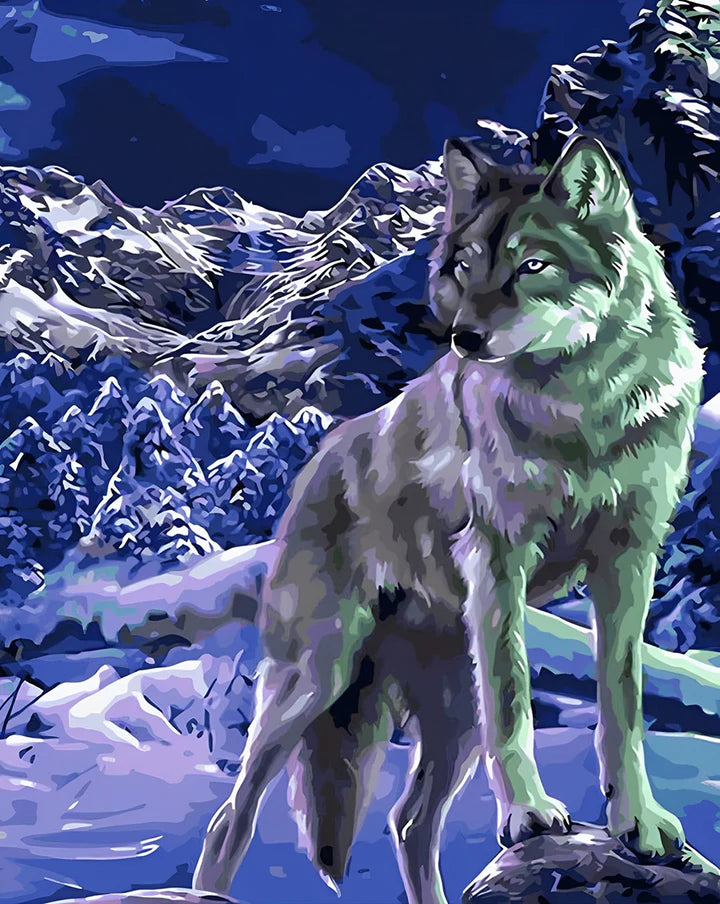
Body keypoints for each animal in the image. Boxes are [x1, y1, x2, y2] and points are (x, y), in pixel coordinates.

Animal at [192, 134, 705, 904]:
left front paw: (638, 823)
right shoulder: (500, 558)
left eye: (532, 265)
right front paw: (529, 814)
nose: (464, 338)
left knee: (408, 821)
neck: (580, 409)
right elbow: (516, 704)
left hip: (451, 713)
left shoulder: (629, 557)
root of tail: (315, 462)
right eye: (466, 266)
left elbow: (622, 704)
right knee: (232, 816)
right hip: (316, 679)